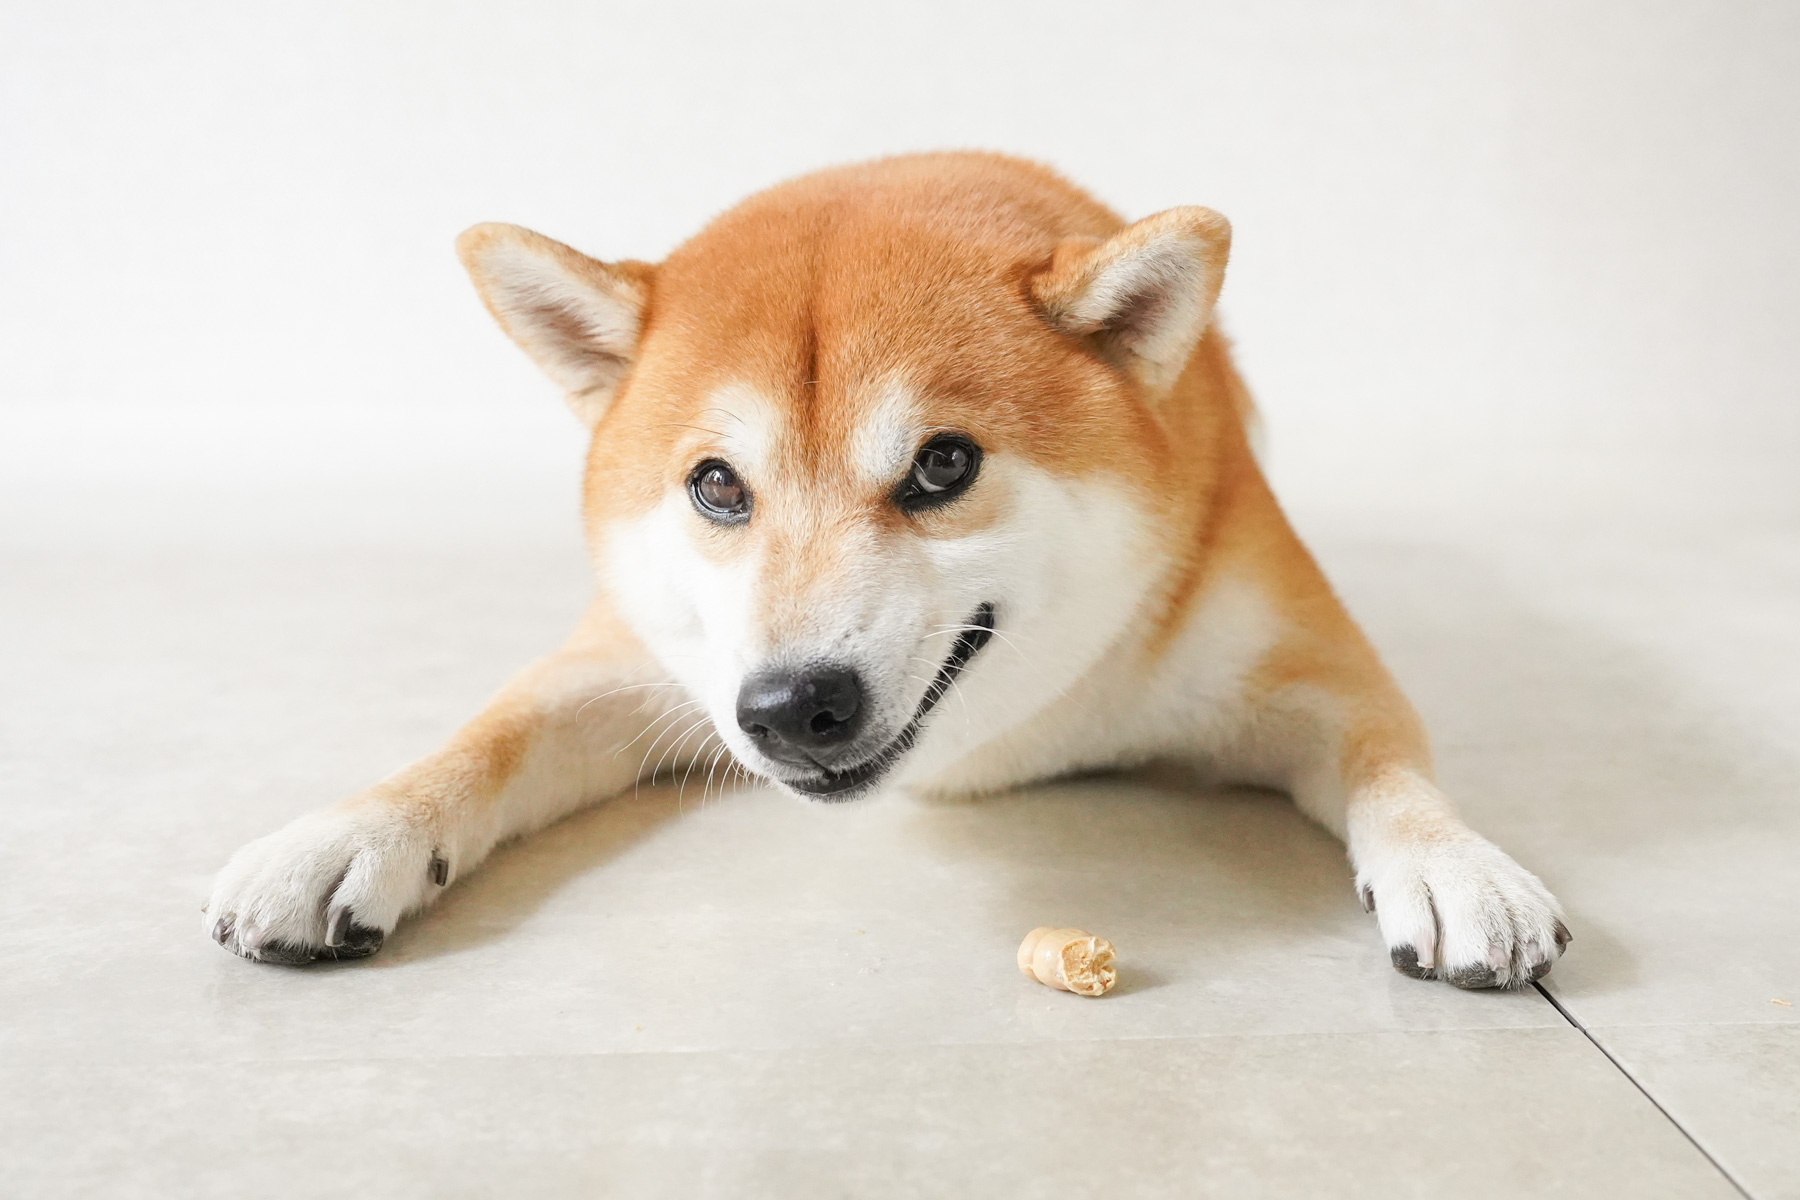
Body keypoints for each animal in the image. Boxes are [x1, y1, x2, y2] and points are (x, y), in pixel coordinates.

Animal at [204, 152, 1568, 988]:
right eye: (716, 486)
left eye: (944, 465)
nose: (790, 708)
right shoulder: (641, 664)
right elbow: (486, 738)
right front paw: (350, 833)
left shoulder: (1301, 660)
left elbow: (1387, 761)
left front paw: (1457, 864)